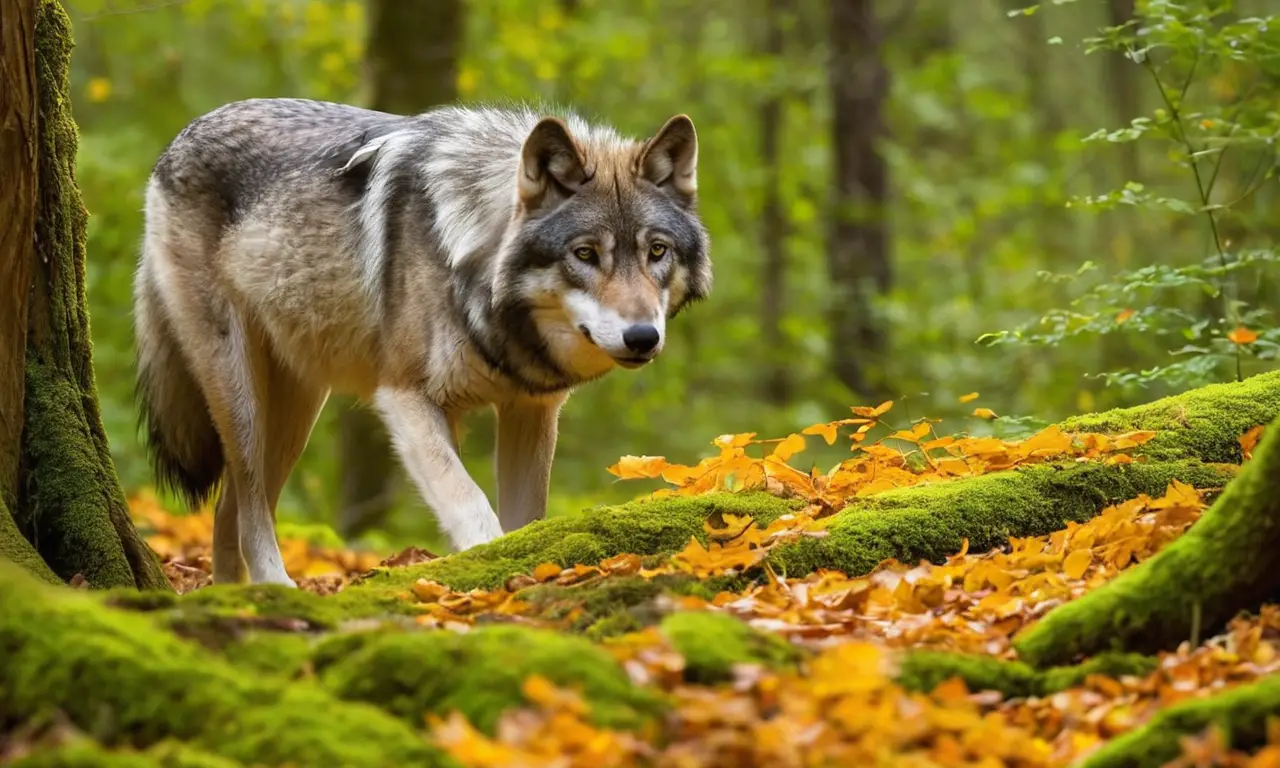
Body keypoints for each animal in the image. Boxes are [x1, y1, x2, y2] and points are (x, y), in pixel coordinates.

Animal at [132, 98, 712, 587]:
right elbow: (471, 506)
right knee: (249, 502)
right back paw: (275, 589)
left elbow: (527, 519)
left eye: (656, 251)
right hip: (240, 393)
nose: (643, 337)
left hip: (298, 408)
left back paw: (233, 593)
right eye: (586, 254)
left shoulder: (531, 411)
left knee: (230, 504)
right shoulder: (407, 400)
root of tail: (180, 137)